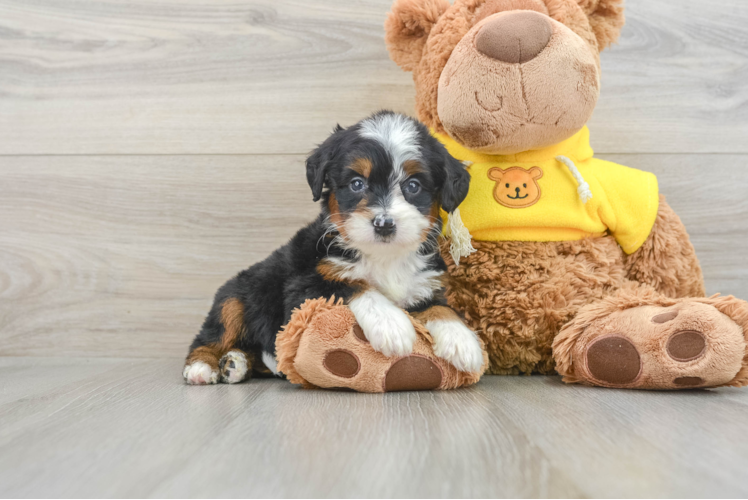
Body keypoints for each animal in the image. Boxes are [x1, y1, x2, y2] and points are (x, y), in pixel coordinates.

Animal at [184, 112, 482, 386]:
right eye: (357, 183)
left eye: (413, 186)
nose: (384, 224)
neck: (384, 257)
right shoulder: (303, 286)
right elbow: (356, 285)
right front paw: (391, 324)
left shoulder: (424, 285)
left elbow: (441, 308)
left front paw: (462, 340)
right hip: (237, 295)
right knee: (212, 333)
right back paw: (204, 366)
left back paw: (236, 363)